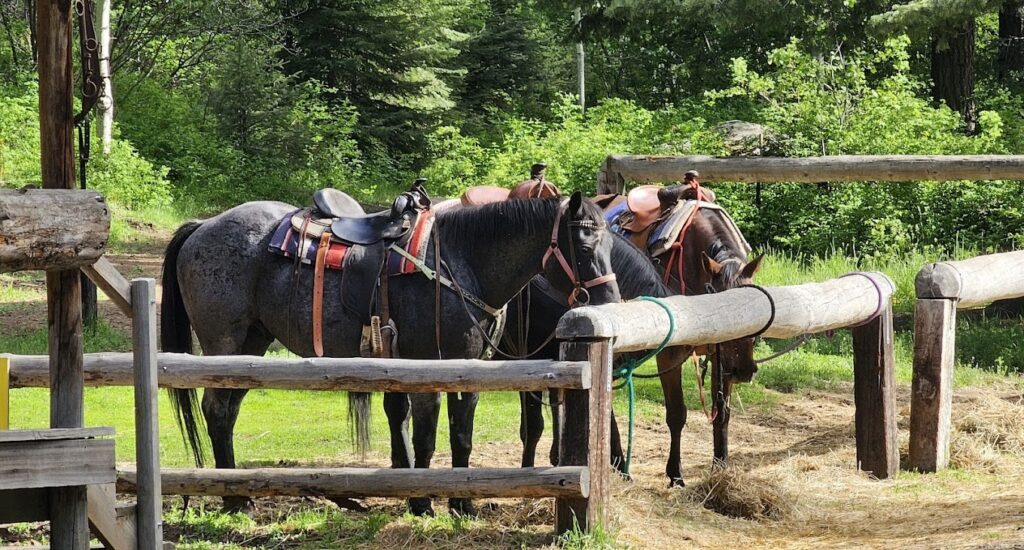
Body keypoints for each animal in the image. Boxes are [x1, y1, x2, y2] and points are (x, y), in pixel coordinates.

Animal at [160, 191, 621, 516]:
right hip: (225, 342)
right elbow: (426, 436)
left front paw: (463, 503)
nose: (612, 302)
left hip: (251, 347)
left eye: (607, 244)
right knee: (216, 409)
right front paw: (422, 502)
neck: (461, 261)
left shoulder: (471, 370)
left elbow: (461, 436)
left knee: (228, 411)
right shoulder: (427, 367)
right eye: (584, 246)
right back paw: (233, 499)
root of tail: (203, 226)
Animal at [511, 199, 762, 487]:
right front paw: (675, 474)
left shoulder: (718, 354)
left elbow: (723, 412)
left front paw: (720, 465)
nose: (745, 370)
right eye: (723, 303)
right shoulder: (670, 354)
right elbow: (676, 414)